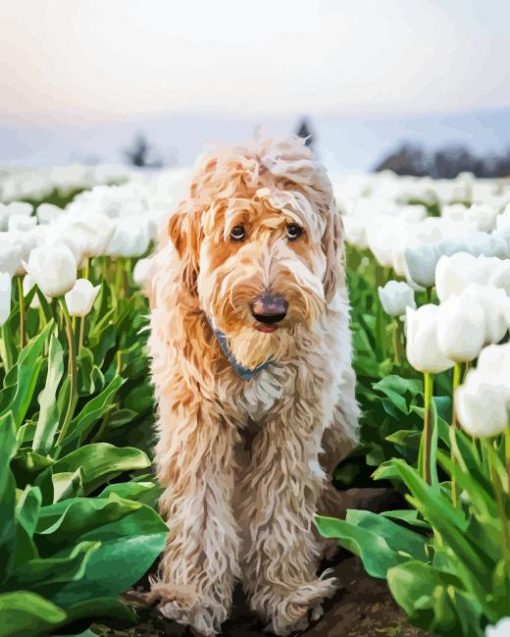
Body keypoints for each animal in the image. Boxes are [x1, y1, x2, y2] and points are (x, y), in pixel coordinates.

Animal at [146, 138, 358, 636]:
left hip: (341, 418)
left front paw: (287, 594)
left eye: (294, 230)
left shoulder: (293, 423)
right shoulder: (197, 422)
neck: (251, 355)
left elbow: (281, 503)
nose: (270, 309)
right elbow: (200, 508)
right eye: (237, 232)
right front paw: (193, 597)